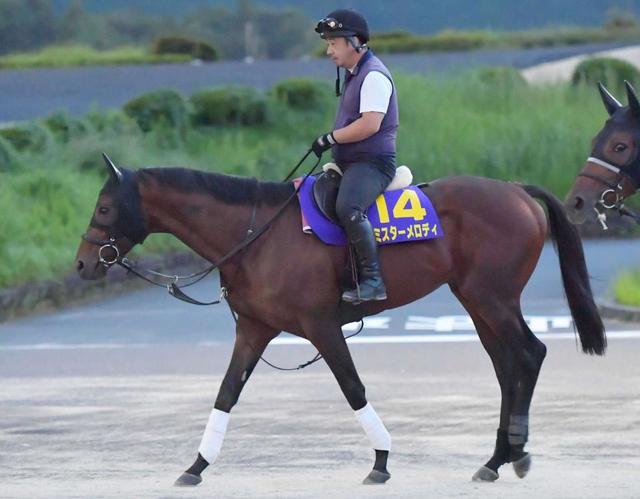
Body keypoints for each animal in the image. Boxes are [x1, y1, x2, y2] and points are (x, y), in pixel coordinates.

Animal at [74, 154, 604, 486]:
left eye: (104, 207)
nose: (80, 265)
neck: (255, 234)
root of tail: (516, 191)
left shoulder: (322, 327)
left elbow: (353, 388)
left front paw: (382, 459)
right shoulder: (253, 330)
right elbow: (226, 394)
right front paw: (197, 465)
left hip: (492, 298)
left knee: (529, 355)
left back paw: (516, 450)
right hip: (477, 302)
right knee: (507, 366)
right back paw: (497, 458)